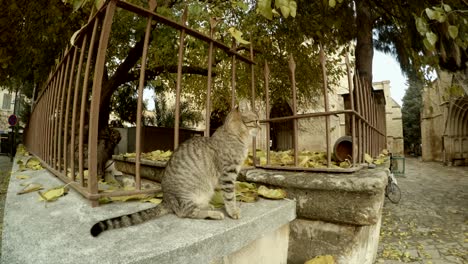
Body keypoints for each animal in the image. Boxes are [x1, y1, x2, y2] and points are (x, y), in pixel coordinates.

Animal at [91, 105, 260, 237]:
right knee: (185, 213)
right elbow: (230, 197)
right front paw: (233, 212)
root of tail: (166, 199)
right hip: (191, 194)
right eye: (257, 120)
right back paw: (213, 213)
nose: (261, 126)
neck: (235, 134)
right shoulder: (228, 174)